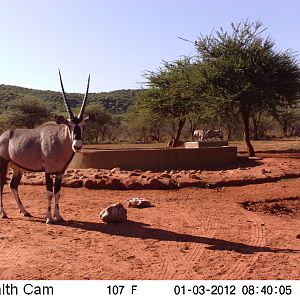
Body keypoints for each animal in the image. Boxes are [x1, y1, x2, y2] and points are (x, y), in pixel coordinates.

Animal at [0, 71, 95, 223]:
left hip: (17, 168)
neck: (59, 142)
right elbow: (49, 193)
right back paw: (3, 213)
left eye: (83, 125)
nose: (77, 145)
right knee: (2, 184)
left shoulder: (60, 173)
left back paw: (25, 211)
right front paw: (49, 218)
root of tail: (4, 135)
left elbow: (57, 193)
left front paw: (59, 216)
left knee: (13, 186)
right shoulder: (48, 172)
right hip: (4, 163)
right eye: (69, 125)